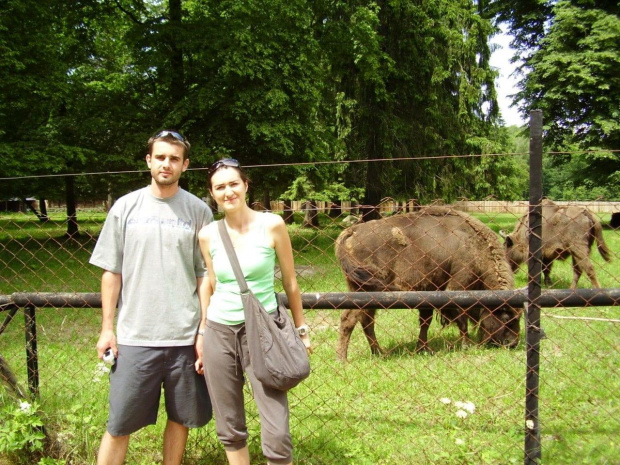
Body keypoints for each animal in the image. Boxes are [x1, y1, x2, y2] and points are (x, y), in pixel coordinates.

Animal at [334, 205, 520, 360]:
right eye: (507, 316)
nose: (513, 343)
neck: (475, 247)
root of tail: (352, 231)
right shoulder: (457, 287)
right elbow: (461, 319)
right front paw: (466, 345)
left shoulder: (430, 291)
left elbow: (425, 322)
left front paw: (423, 349)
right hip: (364, 291)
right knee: (349, 319)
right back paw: (342, 359)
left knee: (366, 321)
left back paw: (378, 353)